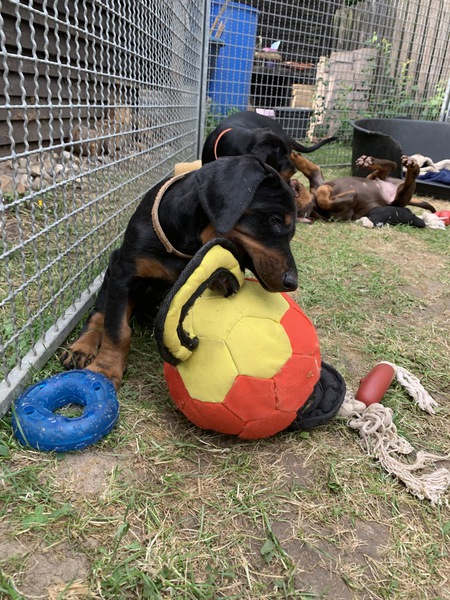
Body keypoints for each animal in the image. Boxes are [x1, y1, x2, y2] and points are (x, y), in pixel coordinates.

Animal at [60, 155, 298, 389]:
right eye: (274, 220)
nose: (292, 282)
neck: (184, 247)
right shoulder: (123, 274)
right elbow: (116, 328)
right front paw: (105, 370)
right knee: (100, 310)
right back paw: (82, 347)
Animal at [290, 153, 436, 222]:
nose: (290, 182)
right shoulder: (346, 206)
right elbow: (324, 198)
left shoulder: (317, 177)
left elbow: (309, 168)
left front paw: (292, 154)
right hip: (400, 198)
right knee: (409, 176)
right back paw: (411, 166)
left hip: (373, 177)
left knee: (391, 166)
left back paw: (370, 161)